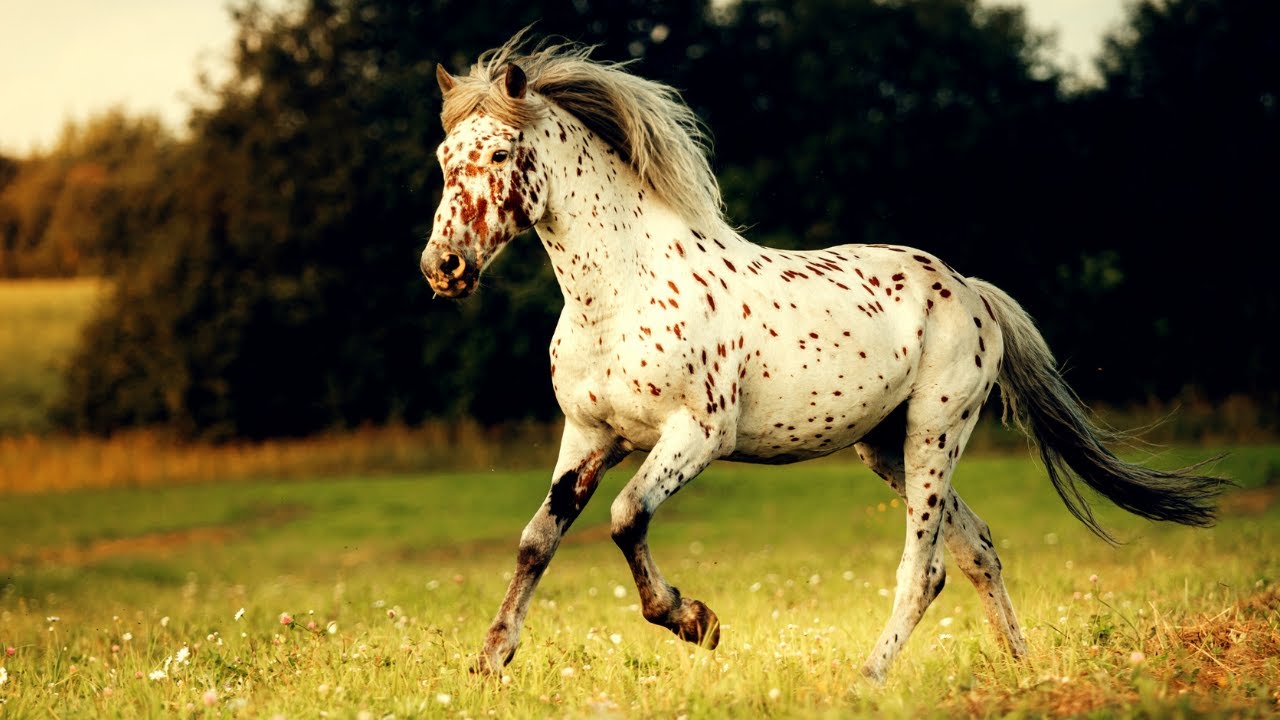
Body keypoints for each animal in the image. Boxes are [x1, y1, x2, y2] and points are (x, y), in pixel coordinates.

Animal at [419, 34, 1226, 682]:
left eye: (499, 153)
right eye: (444, 158)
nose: (443, 267)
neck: (621, 294)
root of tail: (971, 292)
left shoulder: (695, 435)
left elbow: (624, 518)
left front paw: (696, 621)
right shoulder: (591, 436)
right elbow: (536, 541)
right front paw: (490, 660)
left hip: (936, 432)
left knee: (923, 568)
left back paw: (866, 680)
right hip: (886, 446)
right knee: (976, 551)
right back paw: (1023, 668)